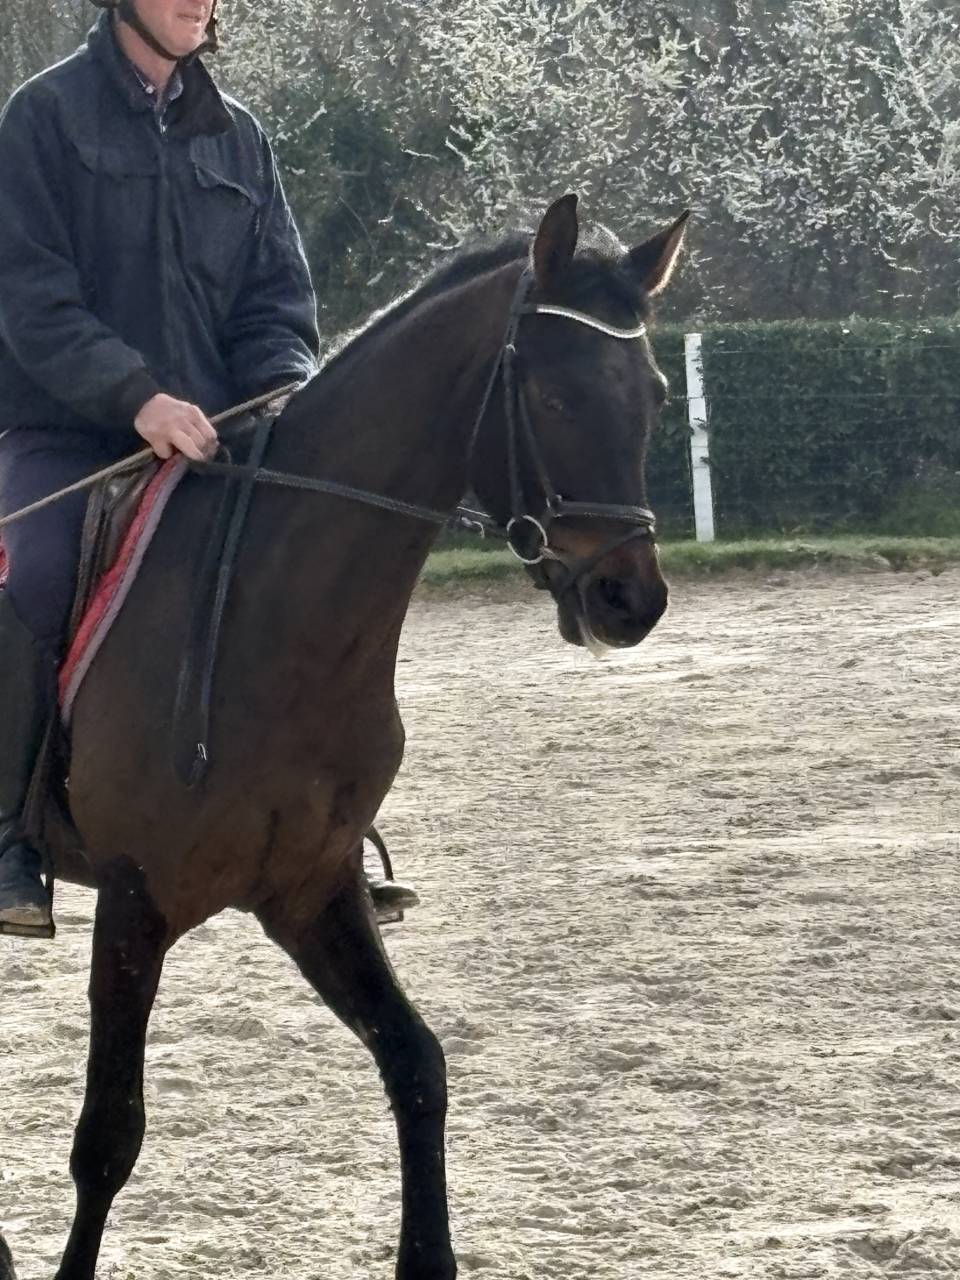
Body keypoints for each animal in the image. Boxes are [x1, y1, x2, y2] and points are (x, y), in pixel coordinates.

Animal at [0, 193, 687, 1279]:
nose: (630, 599)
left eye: (655, 393)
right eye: (551, 394)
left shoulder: (311, 890)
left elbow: (418, 1065)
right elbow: (107, 1137)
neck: (272, 619)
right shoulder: (135, 903)